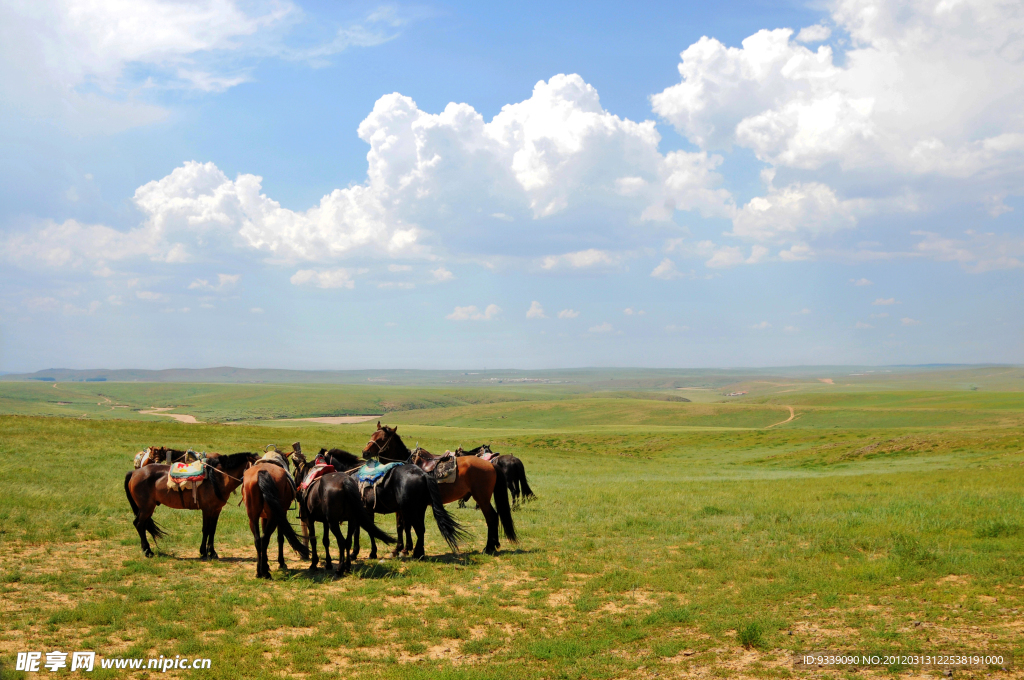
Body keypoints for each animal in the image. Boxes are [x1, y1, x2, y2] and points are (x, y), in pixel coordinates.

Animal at [122, 450, 256, 557]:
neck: (218, 478)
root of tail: (134, 473)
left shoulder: (216, 510)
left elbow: (212, 530)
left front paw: (212, 552)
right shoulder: (207, 509)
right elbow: (206, 529)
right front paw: (203, 552)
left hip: (147, 508)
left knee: (142, 525)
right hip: (146, 508)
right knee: (139, 524)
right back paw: (147, 551)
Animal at [292, 446, 468, 557]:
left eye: (312, 466)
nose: (300, 490)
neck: (351, 474)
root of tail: (423, 474)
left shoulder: (361, 511)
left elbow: (361, 531)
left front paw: (360, 552)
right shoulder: (366, 511)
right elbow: (368, 530)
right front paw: (368, 552)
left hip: (410, 509)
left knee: (419, 529)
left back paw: (417, 554)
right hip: (419, 508)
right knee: (420, 529)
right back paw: (419, 552)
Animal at [362, 421, 516, 557]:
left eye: (382, 439)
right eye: (372, 435)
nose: (365, 452)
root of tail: (490, 464)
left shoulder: (409, 506)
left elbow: (406, 525)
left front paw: (404, 549)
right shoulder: (408, 506)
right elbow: (404, 526)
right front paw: (403, 549)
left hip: (482, 498)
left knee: (491, 517)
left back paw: (488, 547)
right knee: (494, 516)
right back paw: (494, 545)